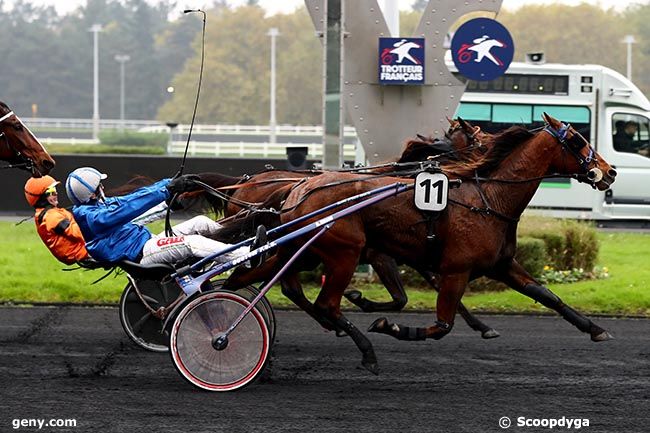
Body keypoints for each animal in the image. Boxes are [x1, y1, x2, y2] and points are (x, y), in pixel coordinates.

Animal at [225, 113, 616, 372]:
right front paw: (390, 325)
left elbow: (547, 295)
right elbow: (441, 325)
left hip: (302, 251)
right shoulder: (453, 268)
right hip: (344, 253)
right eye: (577, 140)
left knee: (252, 279)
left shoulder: (501, 264)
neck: (488, 197)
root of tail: (297, 189)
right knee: (325, 304)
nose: (609, 171)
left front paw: (596, 329)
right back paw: (365, 349)